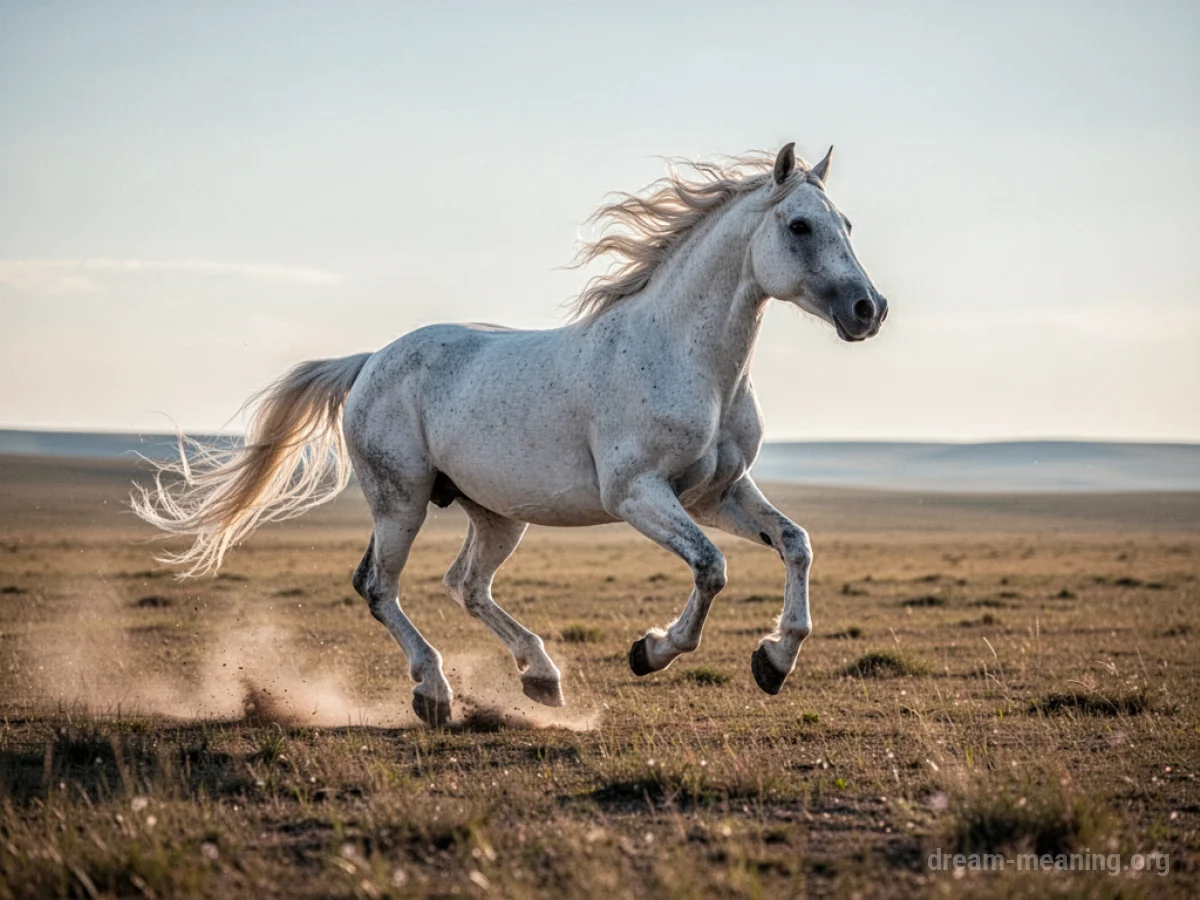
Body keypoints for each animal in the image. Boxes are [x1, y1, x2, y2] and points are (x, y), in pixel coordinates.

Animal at [132, 142, 888, 727]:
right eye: (799, 226)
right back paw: (434, 694)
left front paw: (774, 660)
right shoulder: (637, 494)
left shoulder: (715, 494)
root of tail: (371, 360)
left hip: (496, 513)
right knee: (378, 586)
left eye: (847, 222)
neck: (690, 360)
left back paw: (540, 678)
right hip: (401, 500)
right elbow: (711, 568)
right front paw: (650, 652)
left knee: (465, 585)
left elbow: (796, 544)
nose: (868, 309)